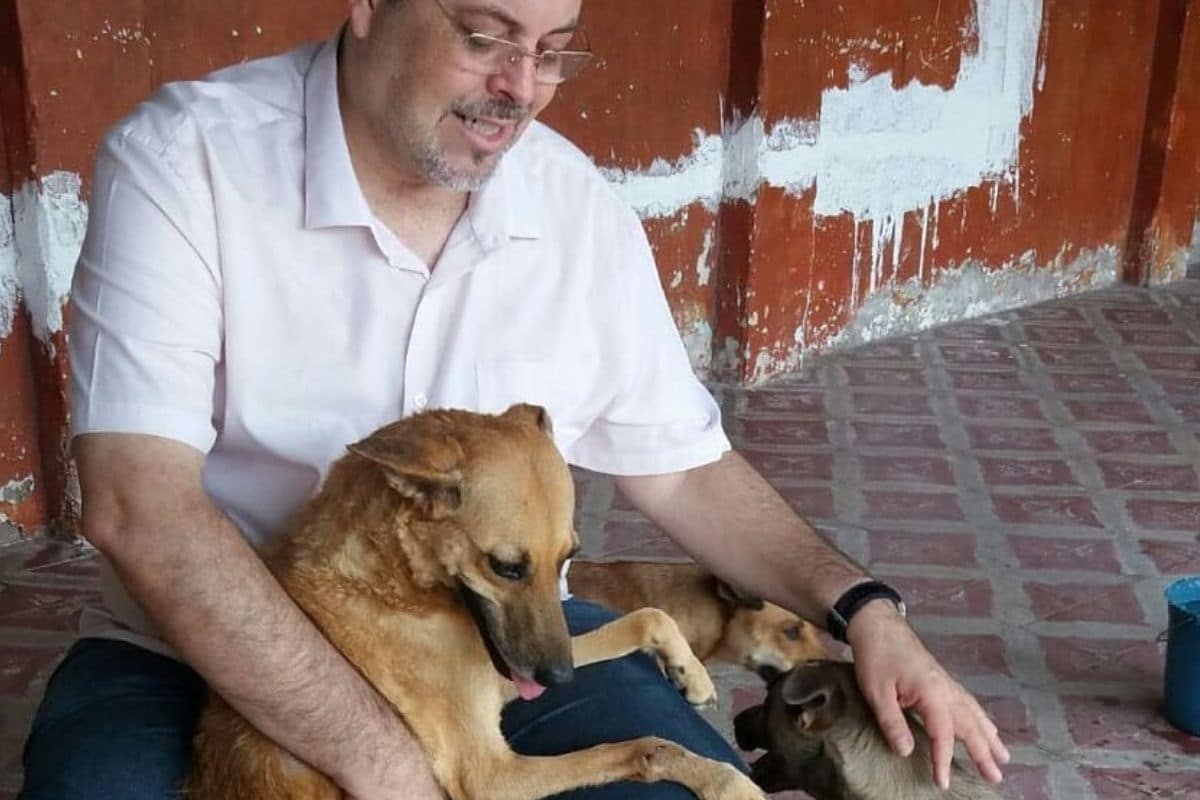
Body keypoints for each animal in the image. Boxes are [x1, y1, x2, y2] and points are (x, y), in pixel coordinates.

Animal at [184, 407, 768, 800]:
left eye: (568, 557)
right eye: (506, 567)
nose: (560, 680)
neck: (394, 579)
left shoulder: (505, 675)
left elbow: (644, 616)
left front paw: (690, 671)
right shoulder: (490, 775)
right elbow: (643, 747)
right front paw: (725, 780)